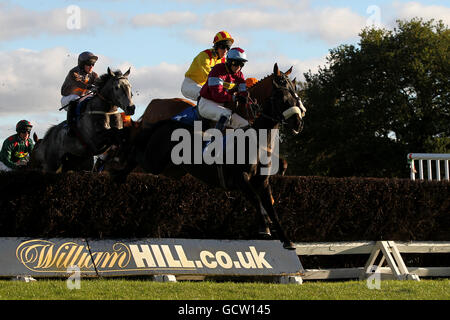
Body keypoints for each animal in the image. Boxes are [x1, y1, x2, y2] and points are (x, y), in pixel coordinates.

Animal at [113, 63, 306, 249]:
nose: (299, 121)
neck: (254, 140)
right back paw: (117, 175)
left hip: (170, 169)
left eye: (296, 94)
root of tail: (165, 119)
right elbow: (257, 200)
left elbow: (271, 207)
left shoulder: (262, 182)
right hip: (154, 161)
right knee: (134, 153)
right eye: (282, 97)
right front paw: (264, 227)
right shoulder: (241, 179)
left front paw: (286, 239)